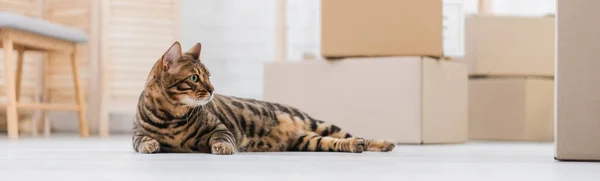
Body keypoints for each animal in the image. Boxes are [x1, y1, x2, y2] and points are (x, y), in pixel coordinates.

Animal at [132, 42, 396, 154]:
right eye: (195, 78)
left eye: (208, 76)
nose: (212, 89)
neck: (171, 116)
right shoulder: (136, 135)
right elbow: (142, 141)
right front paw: (150, 145)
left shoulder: (221, 128)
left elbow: (222, 138)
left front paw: (222, 148)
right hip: (306, 140)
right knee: (334, 142)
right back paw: (355, 146)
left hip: (318, 123)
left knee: (353, 135)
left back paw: (381, 143)